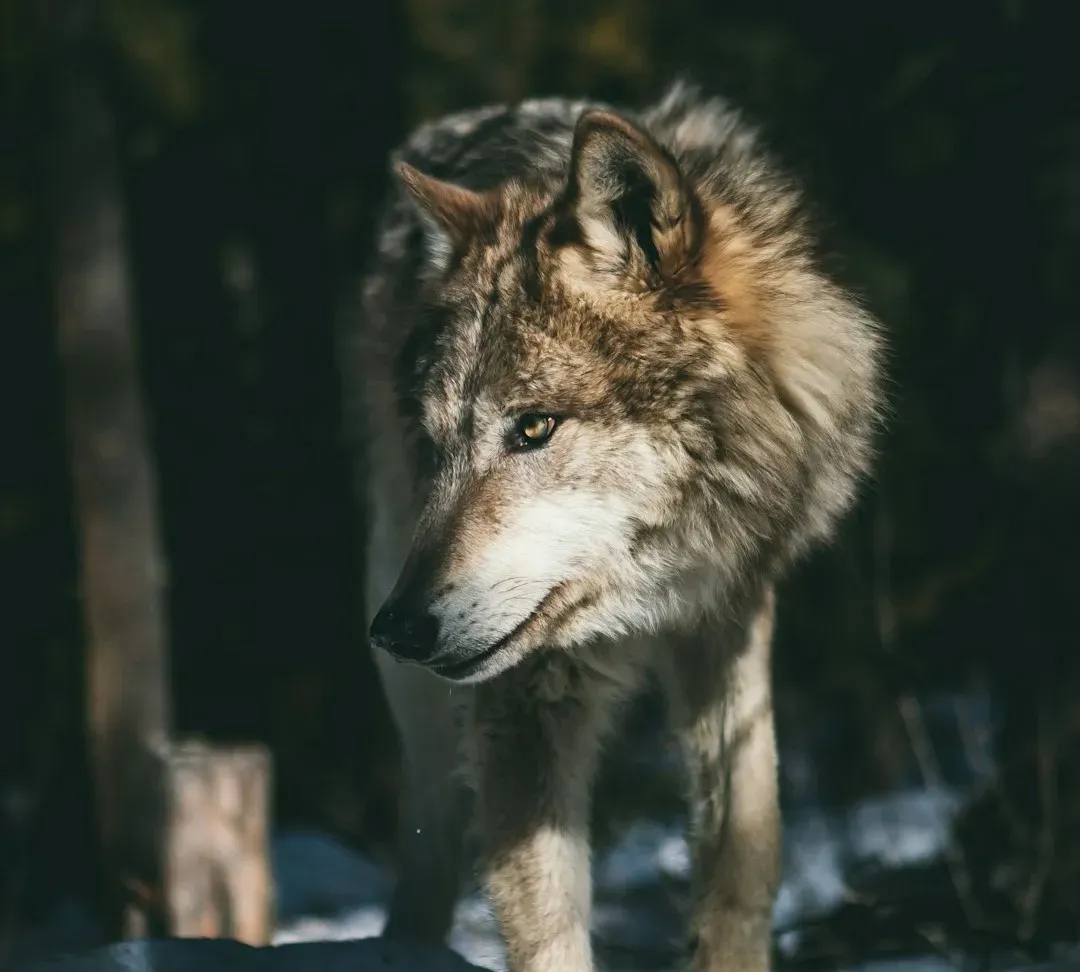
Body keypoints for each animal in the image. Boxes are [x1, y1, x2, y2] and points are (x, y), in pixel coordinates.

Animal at [341, 80, 884, 972]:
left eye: (533, 428)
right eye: (436, 444)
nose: (399, 629)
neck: (645, 592)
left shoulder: (729, 617)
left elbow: (746, 850)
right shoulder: (526, 692)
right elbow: (543, 922)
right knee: (431, 839)